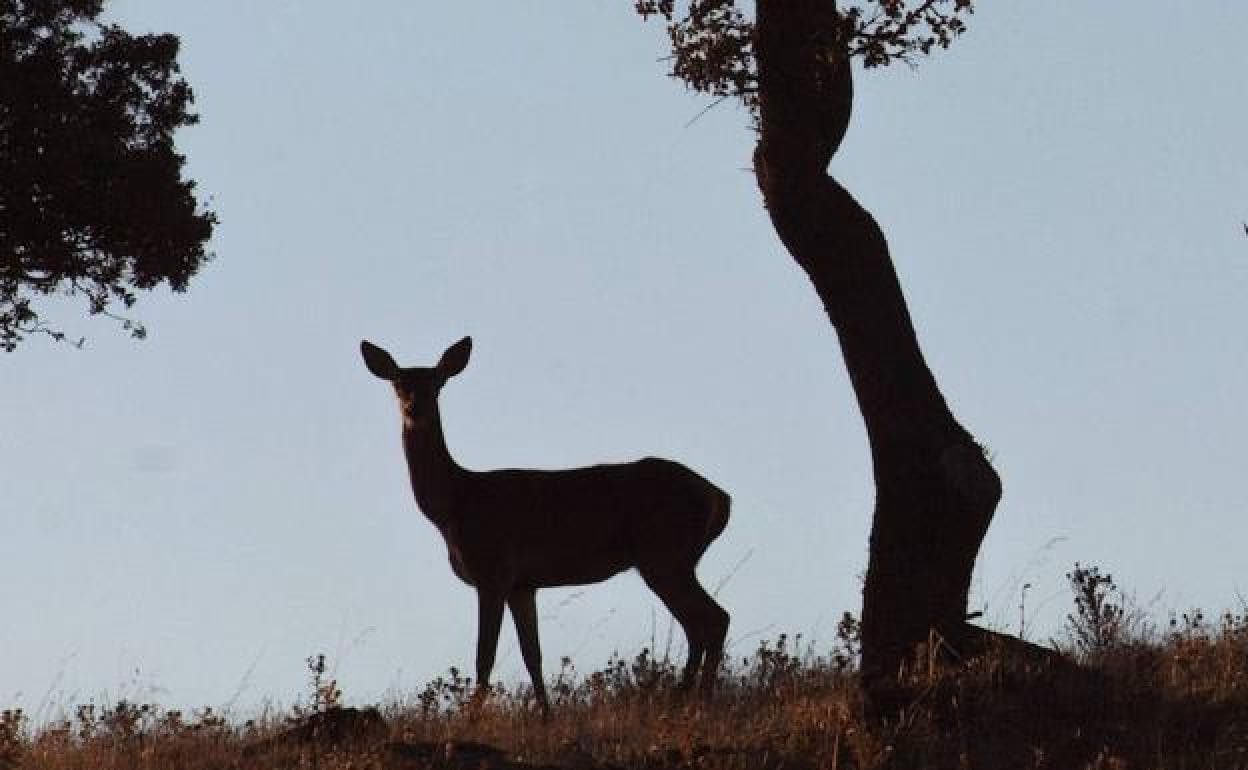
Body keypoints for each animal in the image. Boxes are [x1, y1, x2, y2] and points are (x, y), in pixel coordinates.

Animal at [361, 336, 728, 713]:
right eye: (398, 383)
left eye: (437, 384)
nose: (414, 408)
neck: (456, 503)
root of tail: (720, 498)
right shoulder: (523, 584)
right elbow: (532, 654)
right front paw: (546, 715)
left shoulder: (493, 572)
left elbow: (484, 657)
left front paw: (471, 717)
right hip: (673, 559)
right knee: (699, 625)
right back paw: (684, 699)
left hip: (665, 554)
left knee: (713, 620)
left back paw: (696, 704)